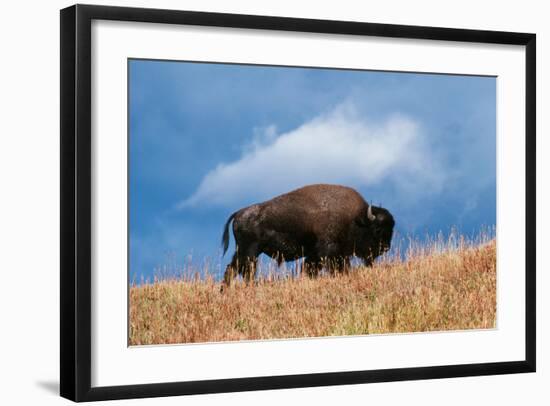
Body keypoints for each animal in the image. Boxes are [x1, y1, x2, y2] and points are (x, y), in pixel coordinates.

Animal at [221, 184, 396, 288]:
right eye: (377, 230)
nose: (386, 248)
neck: (357, 219)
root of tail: (239, 213)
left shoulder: (317, 254)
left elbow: (310, 269)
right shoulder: (329, 252)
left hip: (244, 252)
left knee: (233, 269)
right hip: (250, 252)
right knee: (245, 271)